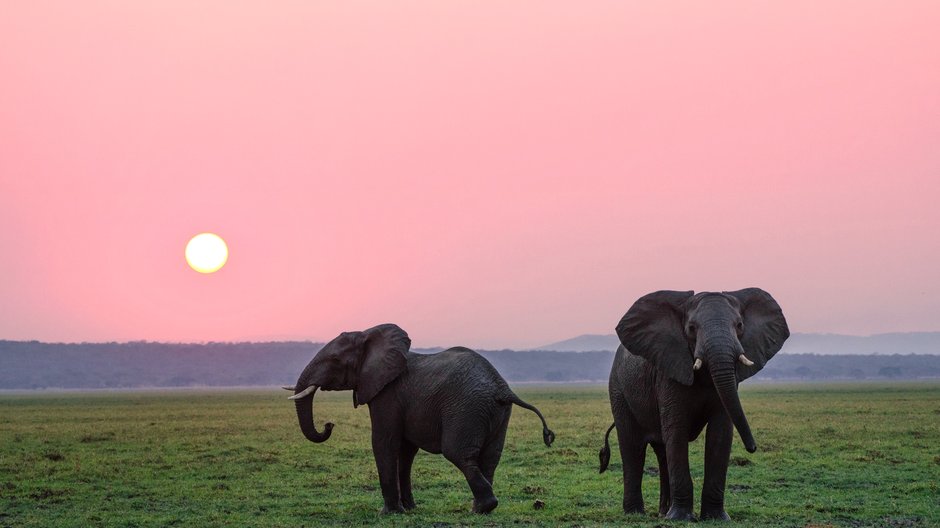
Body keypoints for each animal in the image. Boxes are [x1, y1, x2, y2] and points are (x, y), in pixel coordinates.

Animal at [282, 324, 556, 512]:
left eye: (335, 360)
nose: (328, 425)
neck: (369, 334)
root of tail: (502, 387)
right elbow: (405, 451)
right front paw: (409, 509)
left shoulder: (387, 394)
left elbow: (384, 442)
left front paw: (389, 513)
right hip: (496, 412)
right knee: (490, 458)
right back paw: (479, 509)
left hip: (466, 408)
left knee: (458, 453)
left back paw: (482, 507)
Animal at [600, 290, 788, 520]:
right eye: (691, 328)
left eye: (740, 325)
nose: (752, 448)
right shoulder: (669, 372)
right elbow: (677, 431)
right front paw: (681, 518)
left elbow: (720, 434)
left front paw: (716, 518)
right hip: (618, 390)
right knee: (633, 447)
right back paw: (635, 514)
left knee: (662, 451)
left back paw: (663, 513)